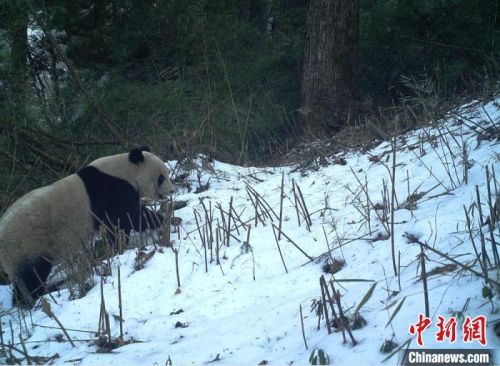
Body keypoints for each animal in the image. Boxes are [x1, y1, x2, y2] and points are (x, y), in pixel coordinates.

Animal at [0, 147, 174, 308]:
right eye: (161, 178)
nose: (172, 190)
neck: (125, 170)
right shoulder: (112, 191)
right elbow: (128, 218)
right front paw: (163, 220)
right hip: (28, 244)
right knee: (32, 276)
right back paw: (32, 300)